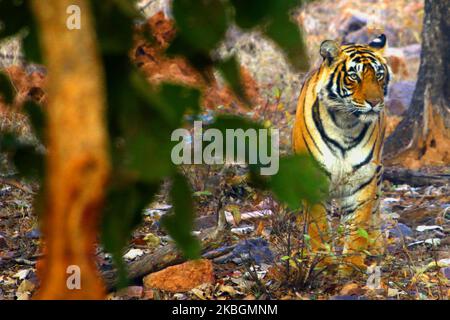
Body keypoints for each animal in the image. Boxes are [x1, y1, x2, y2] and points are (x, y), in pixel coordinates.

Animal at [292, 35, 390, 276]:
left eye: (379, 75)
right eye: (354, 76)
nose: (375, 103)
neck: (346, 124)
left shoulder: (363, 179)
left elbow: (357, 226)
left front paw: (352, 264)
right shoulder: (311, 177)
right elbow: (318, 226)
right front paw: (324, 264)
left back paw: (376, 245)